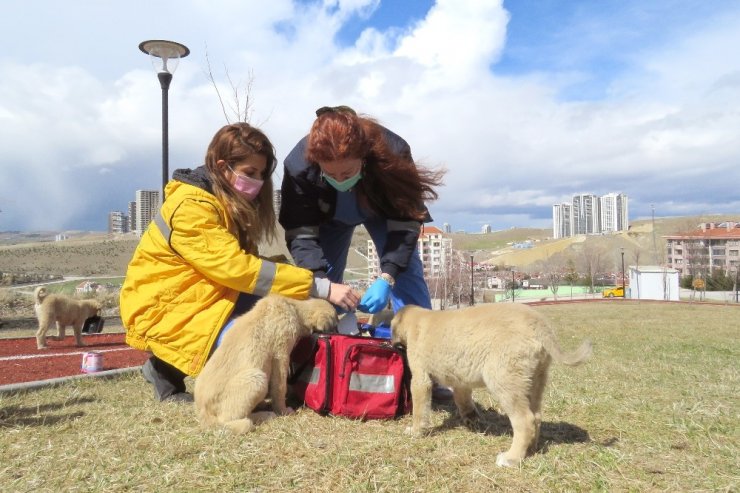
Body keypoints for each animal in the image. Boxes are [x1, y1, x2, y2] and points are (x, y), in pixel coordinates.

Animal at [195, 294, 336, 432]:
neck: (293, 308)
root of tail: (203, 412)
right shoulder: (281, 354)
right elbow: (280, 388)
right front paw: (284, 411)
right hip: (256, 378)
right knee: (228, 420)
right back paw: (262, 416)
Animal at [390, 302, 592, 468]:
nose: (391, 344)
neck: (417, 319)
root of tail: (540, 325)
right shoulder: (460, 381)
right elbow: (463, 400)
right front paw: (472, 420)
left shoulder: (420, 378)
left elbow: (419, 410)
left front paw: (415, 431)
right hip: (535, 380)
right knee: (536, 416)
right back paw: (530, 449)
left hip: (504, 381)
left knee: (525, 420)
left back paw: (512, 458)